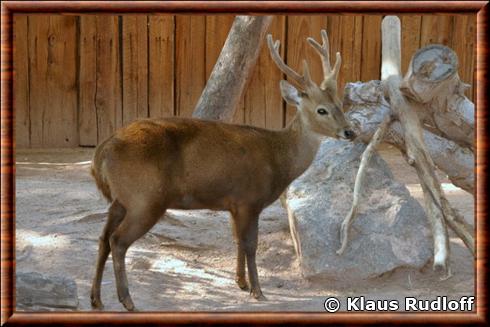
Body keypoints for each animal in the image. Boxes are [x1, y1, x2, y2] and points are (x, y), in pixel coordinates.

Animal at [90, 29, 354, 312]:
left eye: (340, 104)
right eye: (321, 110)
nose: (350, 131)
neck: (278, 159)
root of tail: (102, 152)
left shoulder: (233, 204)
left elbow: (237, 240)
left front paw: (242, 283)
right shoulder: (249, 199)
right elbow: (251, 244)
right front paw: (258, 291)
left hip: (121, 200)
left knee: (103, 239)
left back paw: (96, 299)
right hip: (145, 198)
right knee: (118, 241)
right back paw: (128, 301)